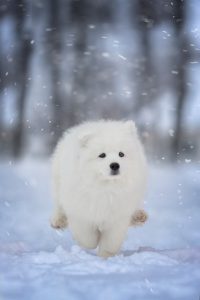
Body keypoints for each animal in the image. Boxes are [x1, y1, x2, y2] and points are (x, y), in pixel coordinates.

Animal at [50, 120, 147, 258]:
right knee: (59, 205)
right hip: (58, 184)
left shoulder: (118, 215)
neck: (106, 189)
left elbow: (111, 242)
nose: (115, 165)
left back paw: (139, 216)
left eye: (121, 154)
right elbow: (87, 238)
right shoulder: (80, 212)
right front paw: (94, 239)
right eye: (102, 155)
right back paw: (58, 221)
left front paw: (106, 257)